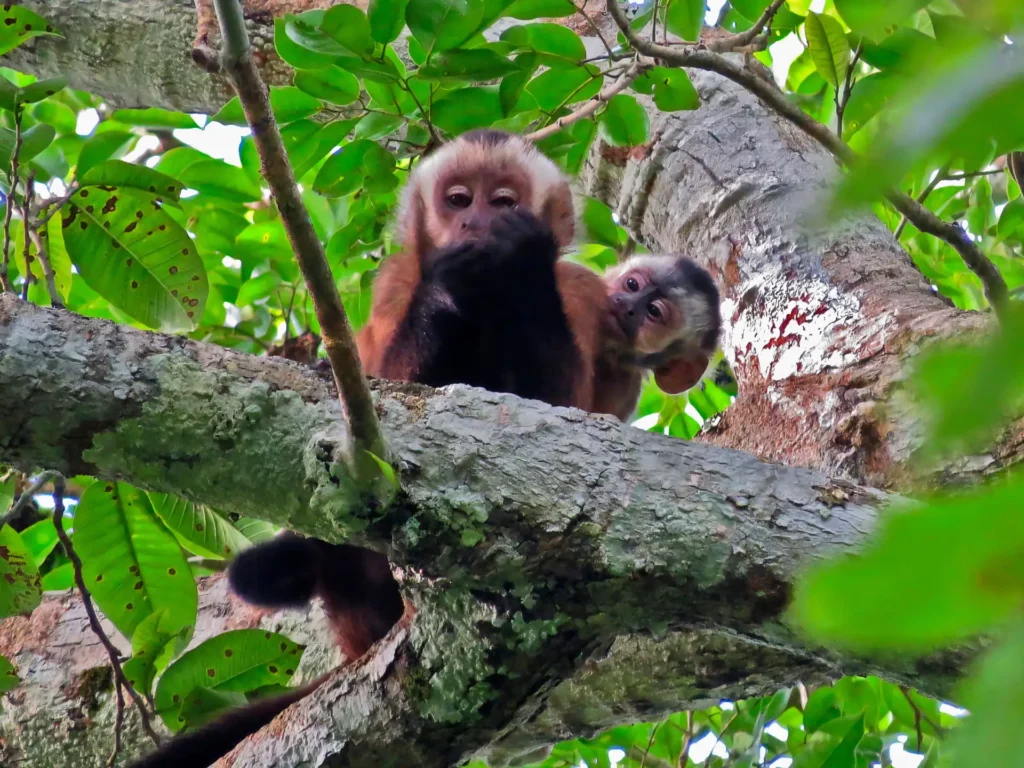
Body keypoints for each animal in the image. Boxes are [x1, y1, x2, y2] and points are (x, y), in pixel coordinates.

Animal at [126, 131, 606, 768]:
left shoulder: (574, 289)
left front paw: (518, 256)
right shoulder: (398, 278)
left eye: (502, 201)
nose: (475, 221)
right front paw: (446, 287)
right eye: (458, 200)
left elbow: (558, 413)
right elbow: (388, 392)